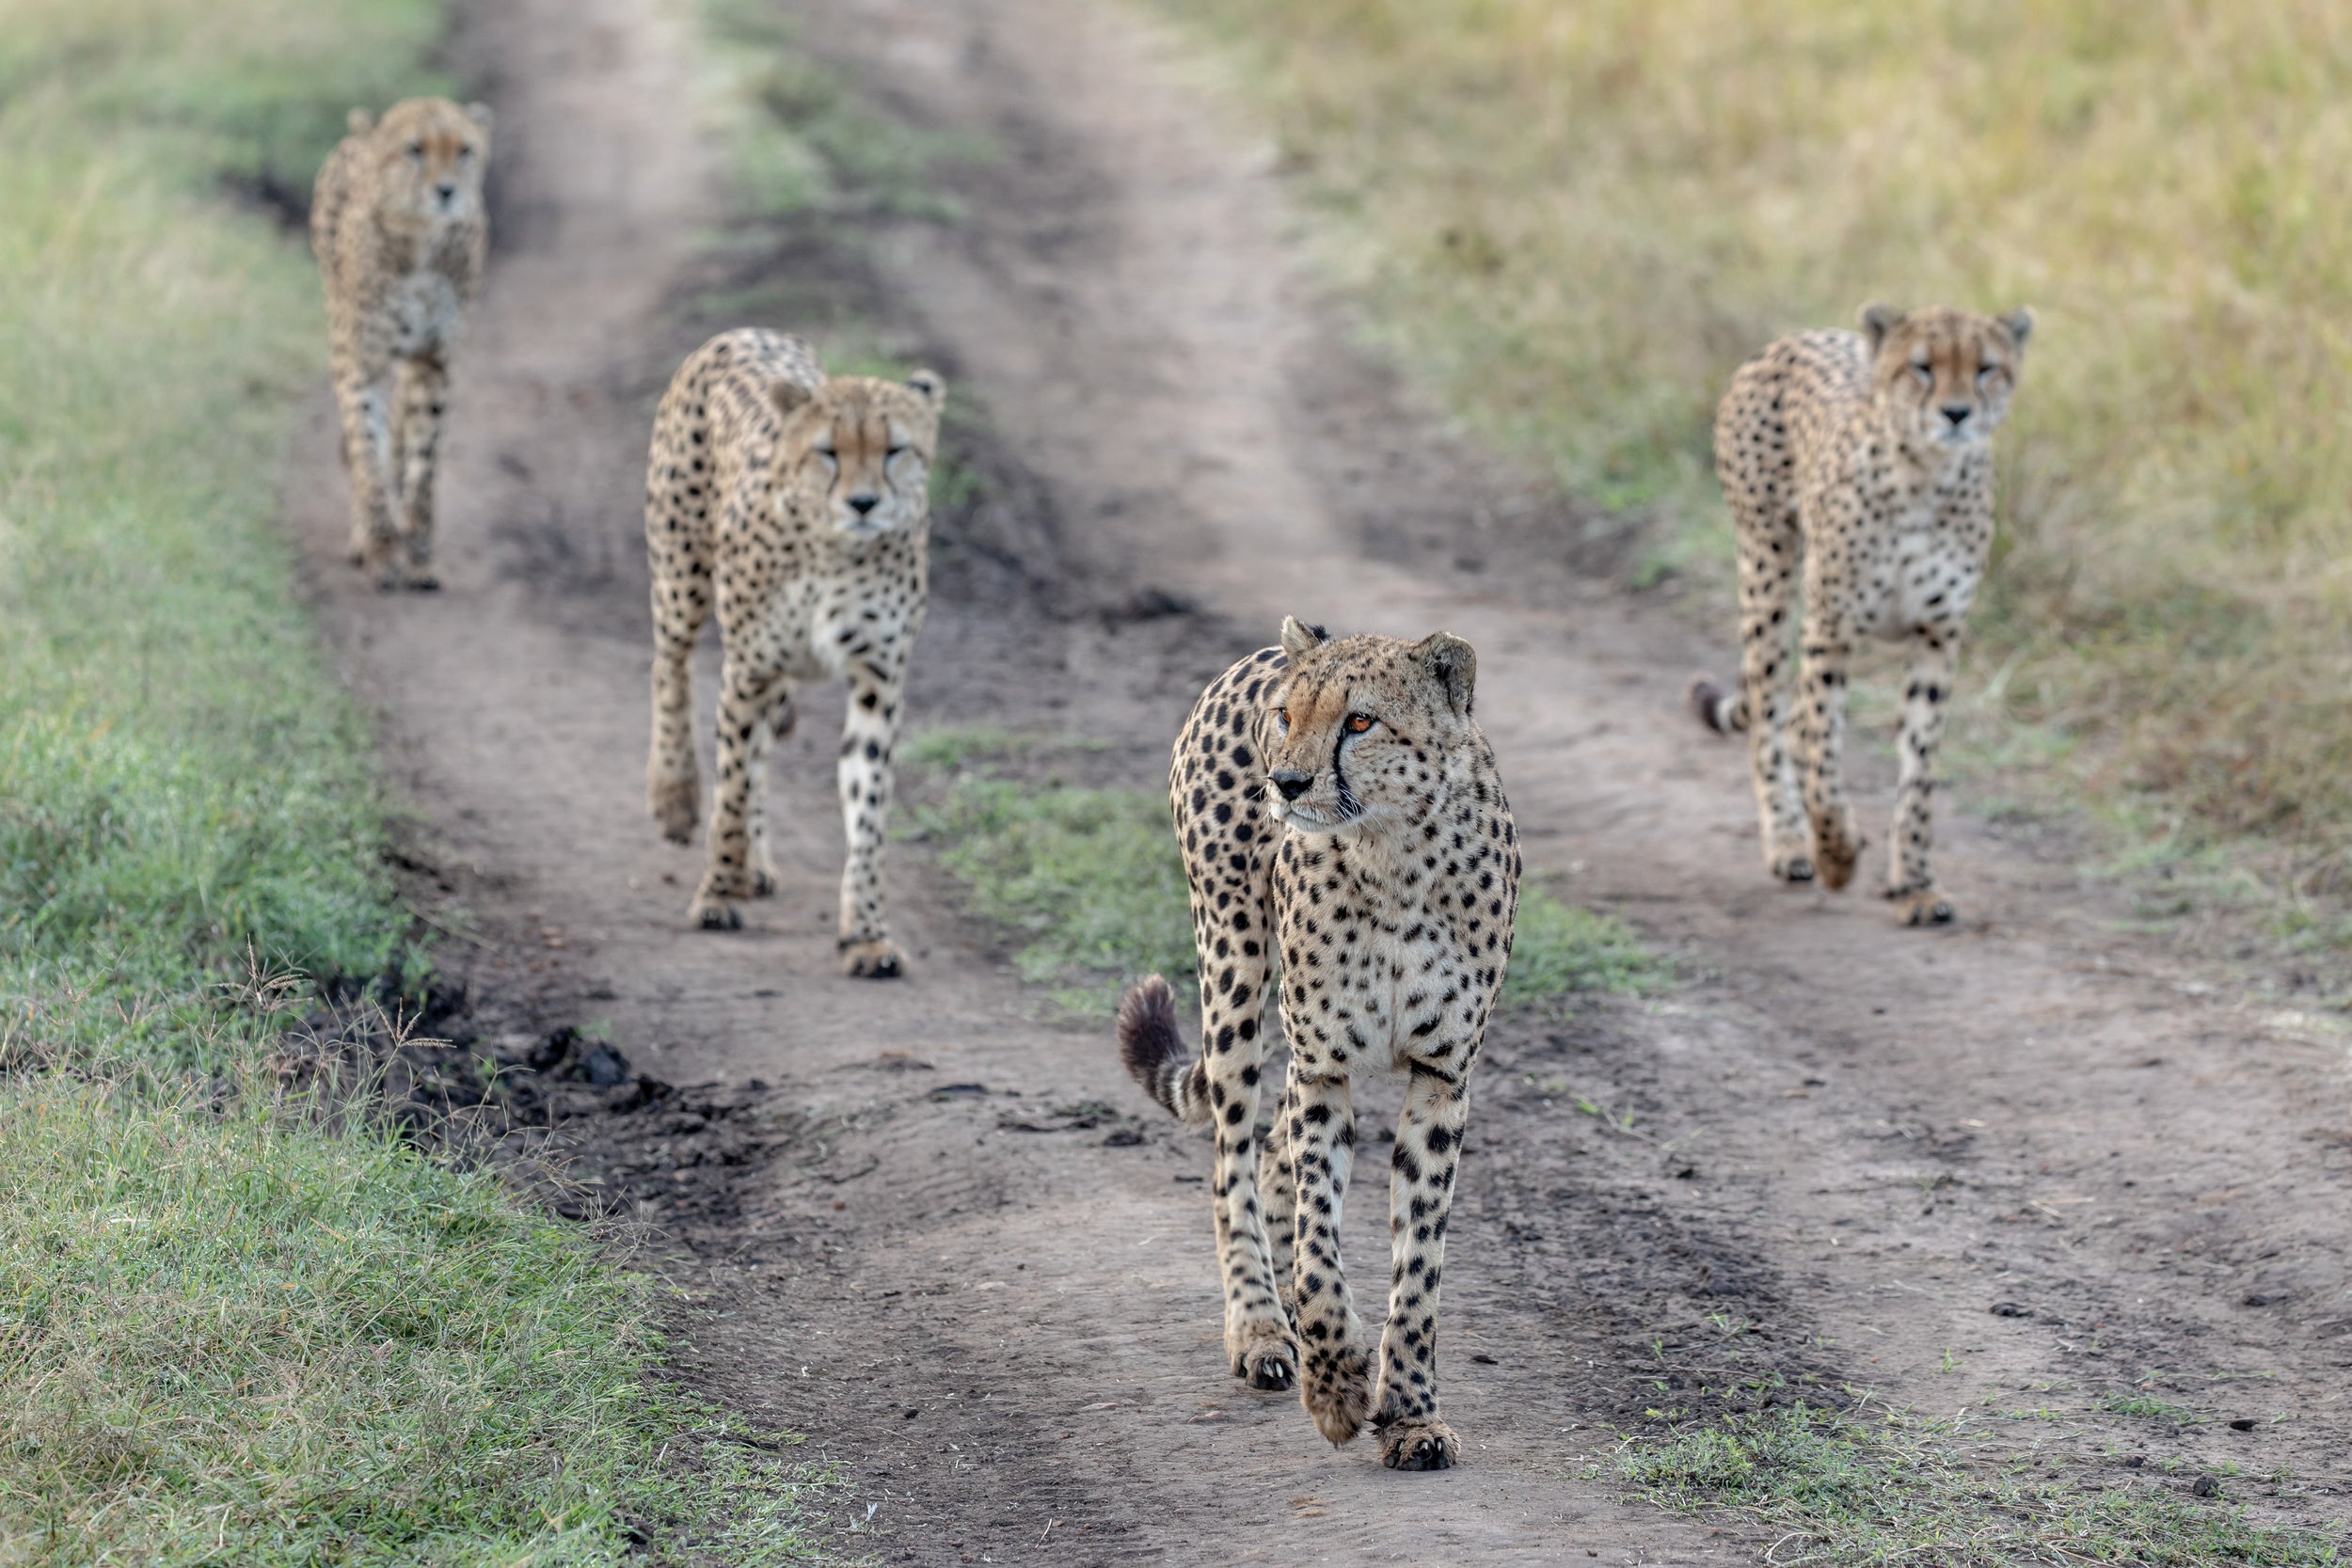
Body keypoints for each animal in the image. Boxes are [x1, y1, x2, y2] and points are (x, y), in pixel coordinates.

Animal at [311, 97, 492, 590]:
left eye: (464, 150)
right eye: (415, 150)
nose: (446, 192)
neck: (420, 244)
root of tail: (357, 135)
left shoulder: (432, 359)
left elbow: (422, 459)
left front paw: (419, 551)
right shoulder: (359, 361)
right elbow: (367, 452)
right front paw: (380, 547)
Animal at [643, 327, 945, 977]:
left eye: (895, 450)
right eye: (828, 451)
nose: (863, 503)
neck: (834, 549)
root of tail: (745, 331)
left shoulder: (876, 683)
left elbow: (866, 811)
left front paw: (866, 935)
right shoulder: (749, 667)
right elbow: (731, 791)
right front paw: (716, 895)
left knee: (757, 746)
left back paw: (754, 865)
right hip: (681, 577)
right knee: (669, 667)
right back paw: (676, 799)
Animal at [1118, 616, 1518, 1471]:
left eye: (1360, 721)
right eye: (1287, 715)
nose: (1288, 783)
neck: (1394, 856)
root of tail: (1265, 649)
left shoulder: (1442, 1076)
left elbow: (1418, 1262)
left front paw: (1410, 1413)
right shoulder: (1323, 1066)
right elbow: (1319, 1245)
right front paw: (1336, 1388)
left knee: (1269, 1154)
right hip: (1234, 968)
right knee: (1233, 1163)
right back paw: (1262, 1329)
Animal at [1690, 303, 2033, 927]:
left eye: (1985, 367)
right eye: (1922, 367)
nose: (1956, 413)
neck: (1925, 476)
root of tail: (1791, 338)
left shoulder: (1937, 638)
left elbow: (1918, 774)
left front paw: (1916, 885)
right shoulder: (1830, 630)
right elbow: (1825, 762)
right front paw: (1836, 859)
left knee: (1794, 720)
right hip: (1767, 569)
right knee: (1773, 717)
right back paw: (1789, 843)